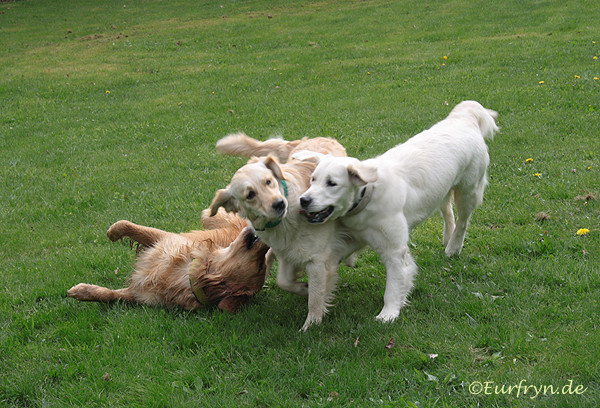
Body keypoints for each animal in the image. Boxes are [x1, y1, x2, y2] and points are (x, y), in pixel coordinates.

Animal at [67, 208, 269, 313]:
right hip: (211, 218)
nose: (268, 247)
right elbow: (128, 226)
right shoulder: (165, 239)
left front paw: (81, 291)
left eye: (261, 266)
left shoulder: (142, 295)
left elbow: (113, 295)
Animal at [210, 133, 361, 330]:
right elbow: (284, 281)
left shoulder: (317, 259)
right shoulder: (289, 253)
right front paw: (303, 288)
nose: (279, 204)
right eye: (250, 195)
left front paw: (310, 326)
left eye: (268, 181)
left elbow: (315, 298)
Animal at [299, 101, 499, 322]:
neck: (368, 195)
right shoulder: (351, 237)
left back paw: (453, 247)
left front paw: (388, 313)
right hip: (443, 189)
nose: (304, 200)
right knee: (448, 212)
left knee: (464, 221)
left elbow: (393, 286)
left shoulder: (394, 250)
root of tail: (464, 118)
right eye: (313, 180)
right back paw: (448, 238)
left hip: (468, 191)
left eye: (332, 183)